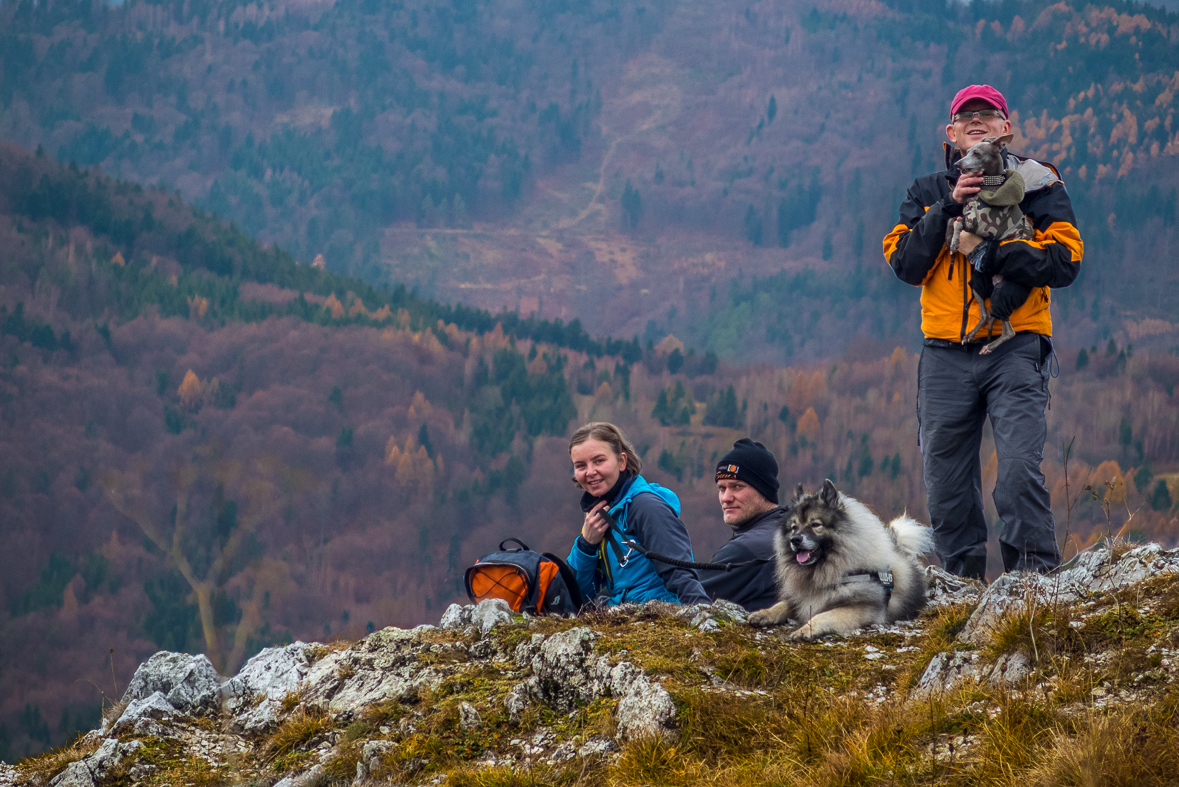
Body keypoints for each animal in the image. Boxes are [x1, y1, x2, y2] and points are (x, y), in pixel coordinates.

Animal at [749, 480, 933, 640]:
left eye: (816, 525)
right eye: (794, 527)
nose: (795, 540)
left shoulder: (861, 608)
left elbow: (823, 616)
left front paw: (805, 630)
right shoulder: (803, 598)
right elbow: (782, 604)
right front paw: (763, 613)